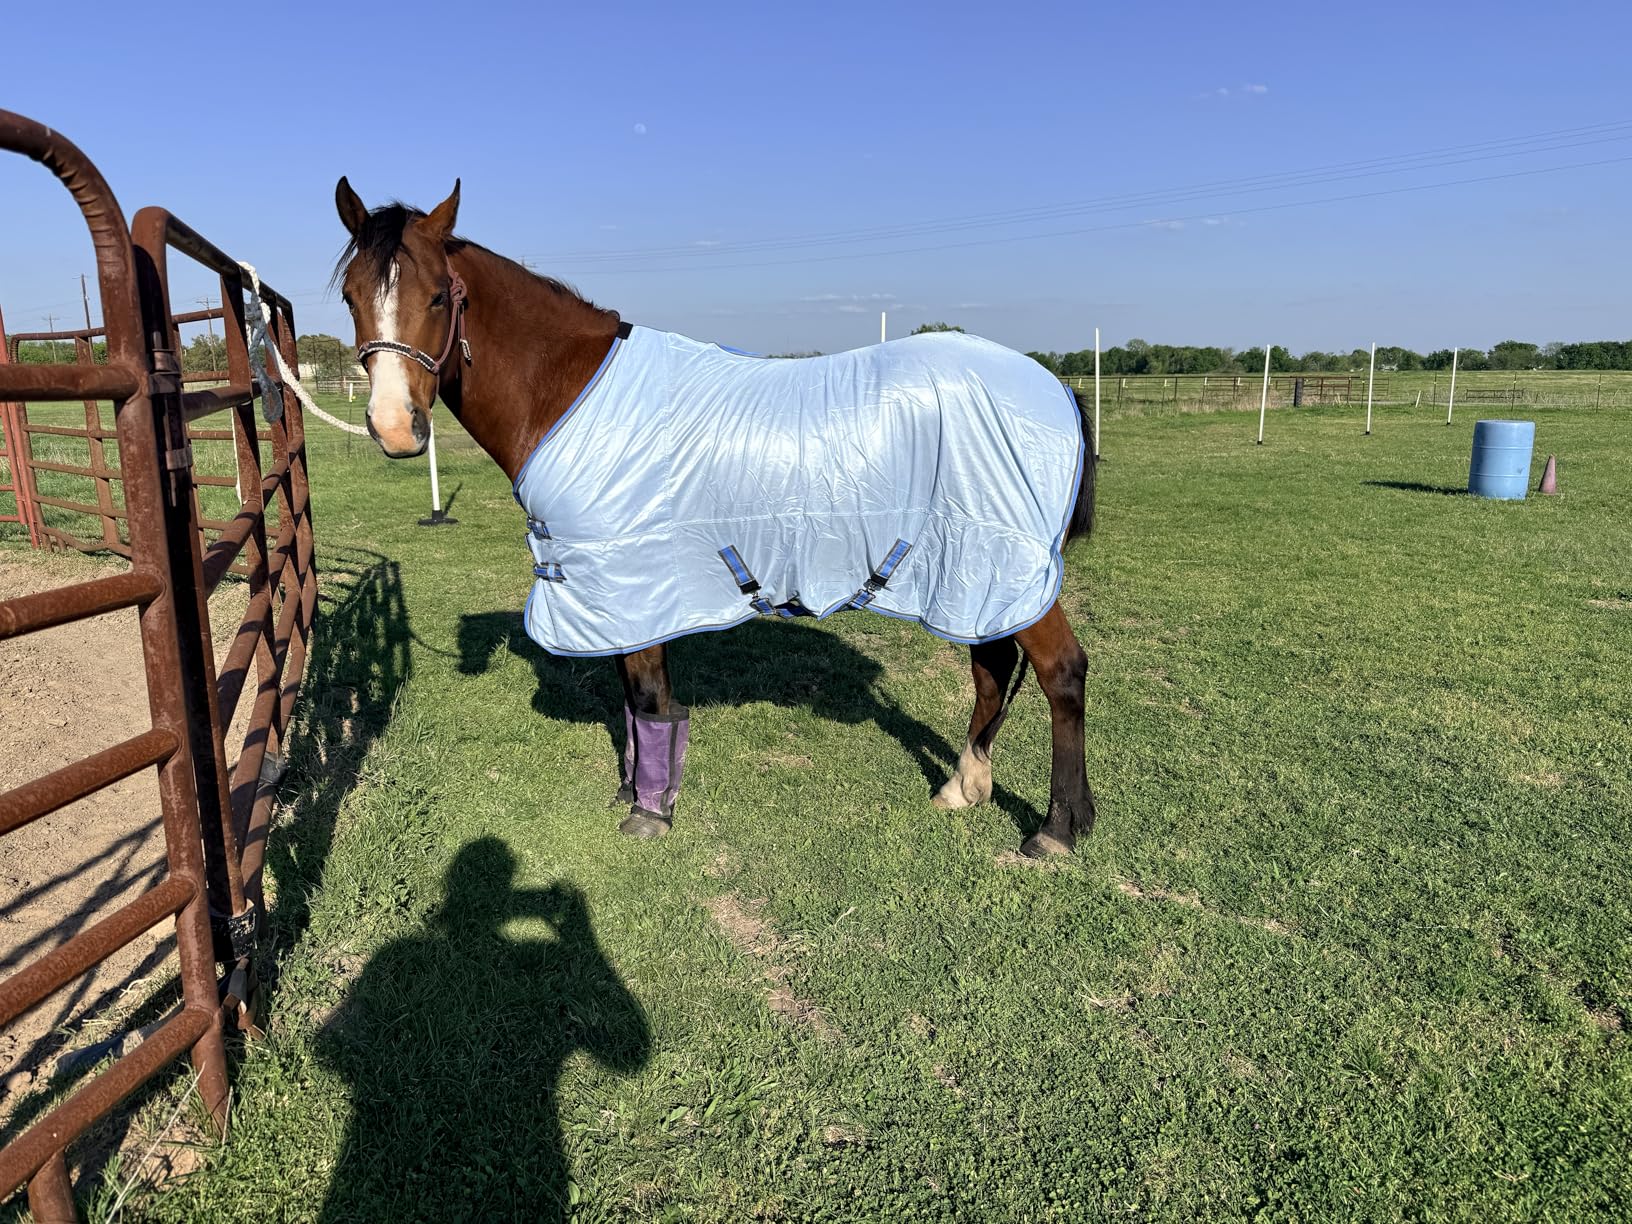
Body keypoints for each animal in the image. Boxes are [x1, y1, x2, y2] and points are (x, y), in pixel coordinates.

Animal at [332, 178, 1099, 858]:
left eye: (438, 294)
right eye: (349, 297)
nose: (395, 428)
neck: (568, 387)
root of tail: (1054, 386)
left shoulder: (632, 573)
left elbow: (645, 696)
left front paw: (647, 815)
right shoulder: (627, 588)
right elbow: (638, 697)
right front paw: (641, 790)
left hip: (1006, 565)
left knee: (1061, 672)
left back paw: (1058, 828)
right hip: (974, 573)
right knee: (992, 664)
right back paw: (965, 786)